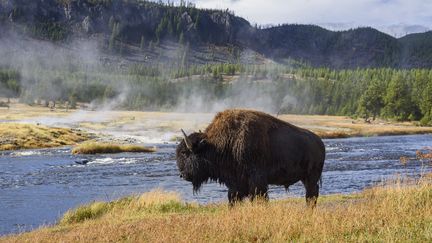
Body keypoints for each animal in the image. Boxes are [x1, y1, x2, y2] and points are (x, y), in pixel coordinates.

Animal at [176, 109, 324, 206]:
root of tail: (320, 142)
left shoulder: (257, 181)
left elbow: (260, 198)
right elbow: (233, 199)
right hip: (305, 178)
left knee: (311, 194)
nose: (182, 175)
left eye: (184, 153)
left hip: (311, 177)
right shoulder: (235, 184)